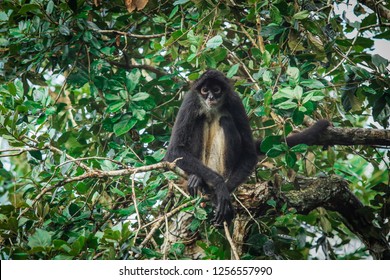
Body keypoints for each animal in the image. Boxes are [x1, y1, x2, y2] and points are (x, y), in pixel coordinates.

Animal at [165, 70, 258, 225]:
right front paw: (219, 186)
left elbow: (249, 155)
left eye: (216, 89)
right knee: (200, 118)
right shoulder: (190, 100)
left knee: (226, 120)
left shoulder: (235, 100)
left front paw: (219, 195)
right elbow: (174, 150)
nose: (210, 97)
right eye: (204, 90)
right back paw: (196, 178)